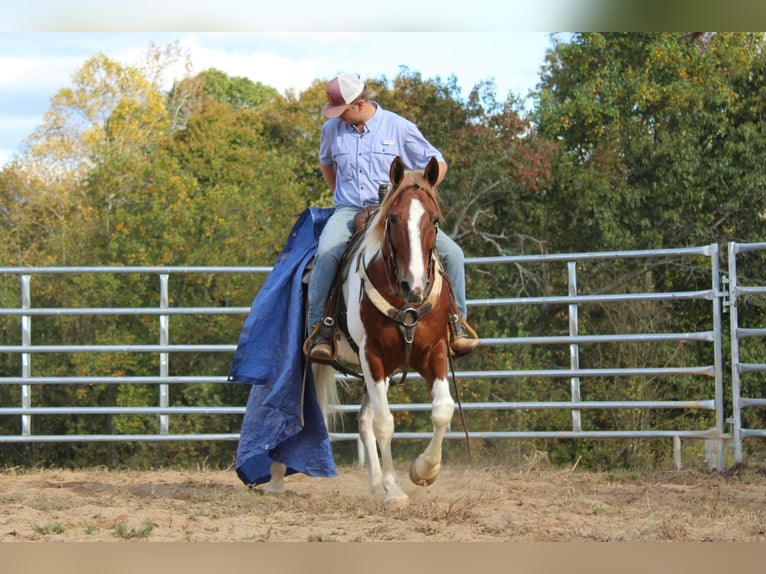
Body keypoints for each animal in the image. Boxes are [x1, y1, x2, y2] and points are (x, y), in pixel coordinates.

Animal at [268, 155, 456, 510]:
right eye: (392, 219)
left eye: (434, 220)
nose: (414, 287)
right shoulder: (373, 356)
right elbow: (385, 424)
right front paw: (395, 490)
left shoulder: (434, 351)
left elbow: (442, 410)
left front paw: (424, 471)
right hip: (318, 360)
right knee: (293, 410)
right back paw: (275, 478)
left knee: (364, 422)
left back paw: (374, 484)